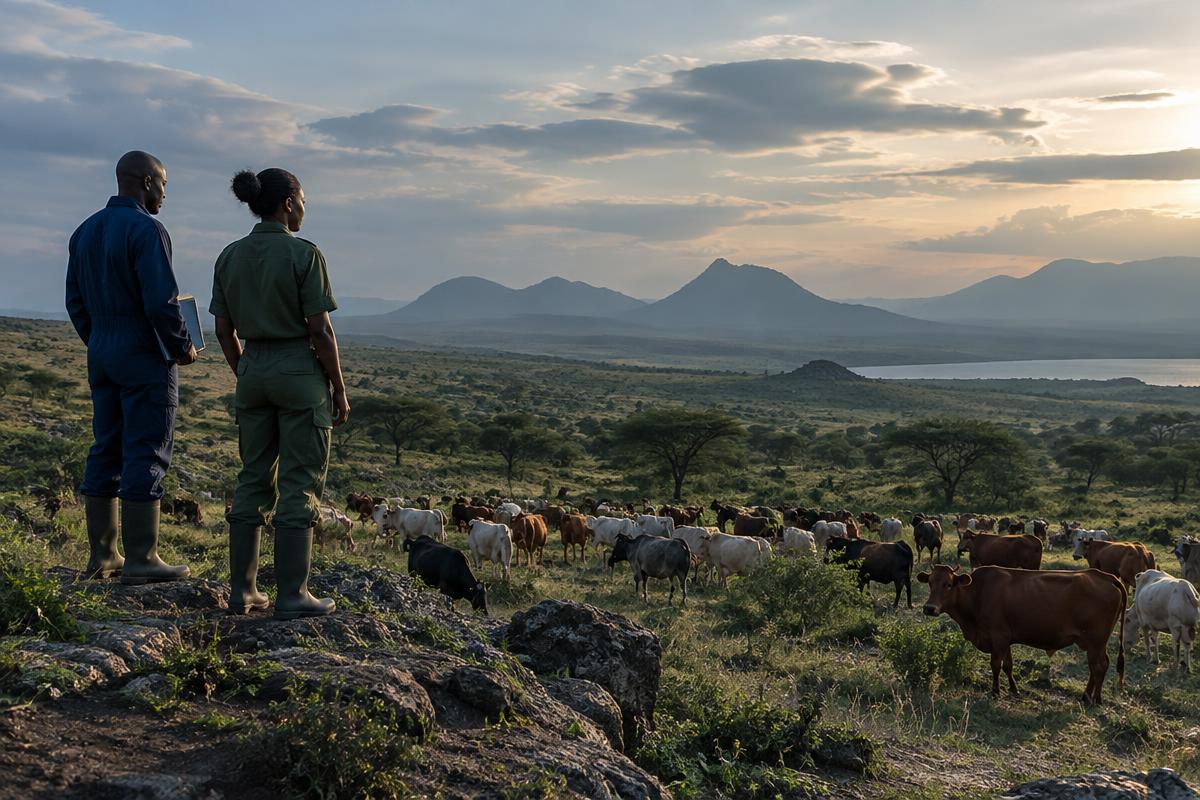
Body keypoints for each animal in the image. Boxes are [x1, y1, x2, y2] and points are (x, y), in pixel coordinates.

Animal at [919, 564, 1126, 704]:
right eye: (930, 583)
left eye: (948, 584)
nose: (929, 608)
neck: (978, 592)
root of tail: (1106, 576)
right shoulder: (1005, 639)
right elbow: (1008, 666)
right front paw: (1013, 688)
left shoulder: (998, 636)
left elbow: (996, 665)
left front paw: (995, 691)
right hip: (1096, 644)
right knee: (1097, 667)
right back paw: (1087, 696)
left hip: (1096, 642)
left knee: (1099, 666)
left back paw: (1094, 699)